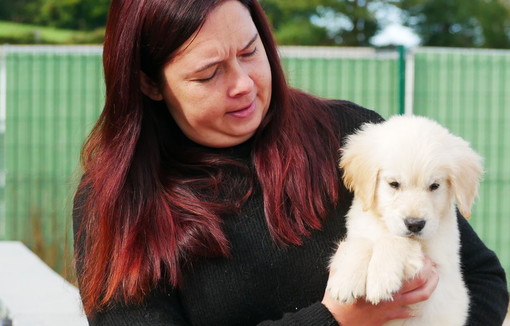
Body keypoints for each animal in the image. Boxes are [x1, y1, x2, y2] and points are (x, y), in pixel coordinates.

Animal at [326, 115, 482, 326]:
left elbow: (399, 240)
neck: (383, 226)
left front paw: (381, 279)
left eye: (435, 186)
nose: (415, 224)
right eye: (394, 184)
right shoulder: (360, 228)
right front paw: (346, 280)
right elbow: (359, 242)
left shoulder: (435, 269)